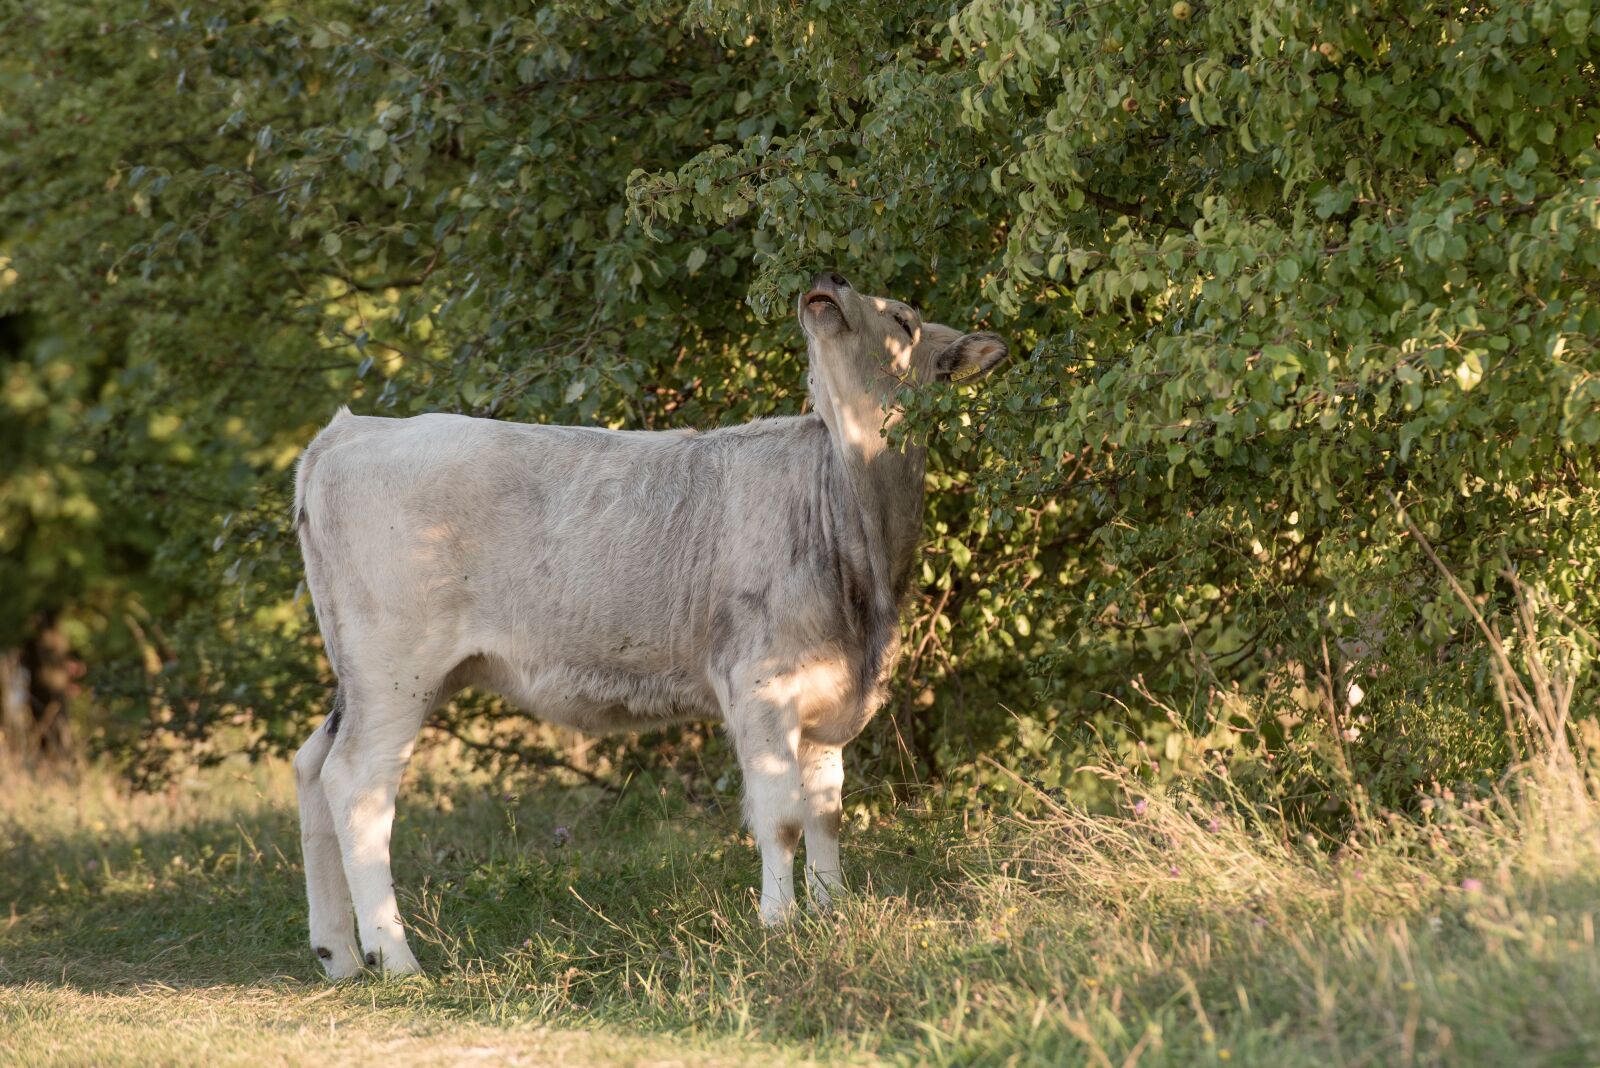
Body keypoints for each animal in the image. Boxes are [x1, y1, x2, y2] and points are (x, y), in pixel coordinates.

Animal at [291, 271, 1008, 977]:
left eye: (904, 321)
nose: (827, 278)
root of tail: (352, 431)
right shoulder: (759, 683)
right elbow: (781, 817)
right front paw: (780, 925)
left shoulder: (831, 691)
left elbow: (826, 813)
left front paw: (832, 910)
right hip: (395, 665)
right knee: (357, 785)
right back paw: (394, 956)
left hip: (373, 674)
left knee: (311, 765)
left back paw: (338, 953)